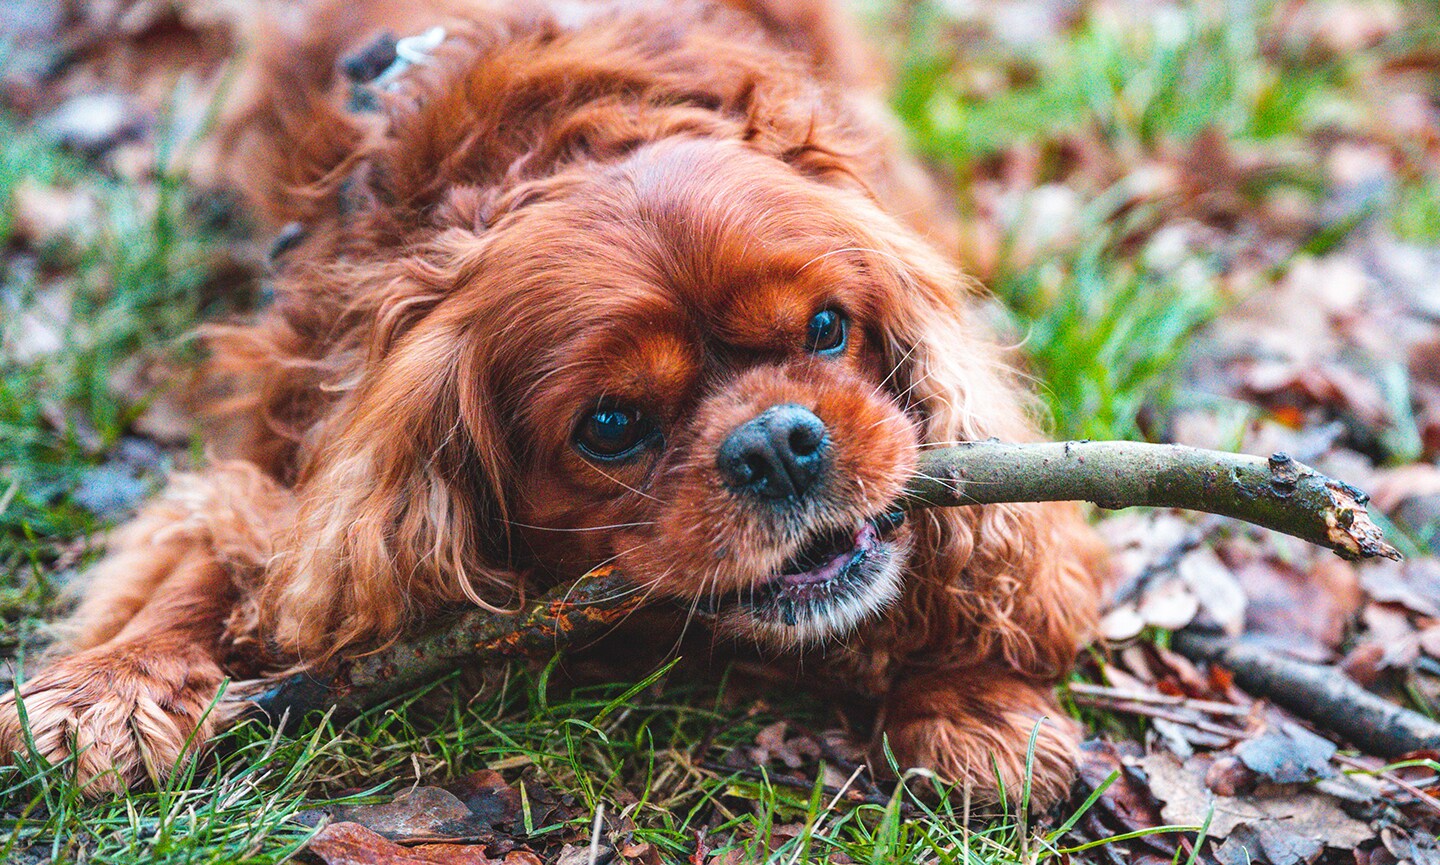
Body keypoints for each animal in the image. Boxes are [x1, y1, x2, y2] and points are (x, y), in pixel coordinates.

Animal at [0, 0, 1100, 800]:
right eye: (611, 427)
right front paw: (108, 687)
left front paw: (978, 701)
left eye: (829, 328)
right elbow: (211, 537)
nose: (779, 441)